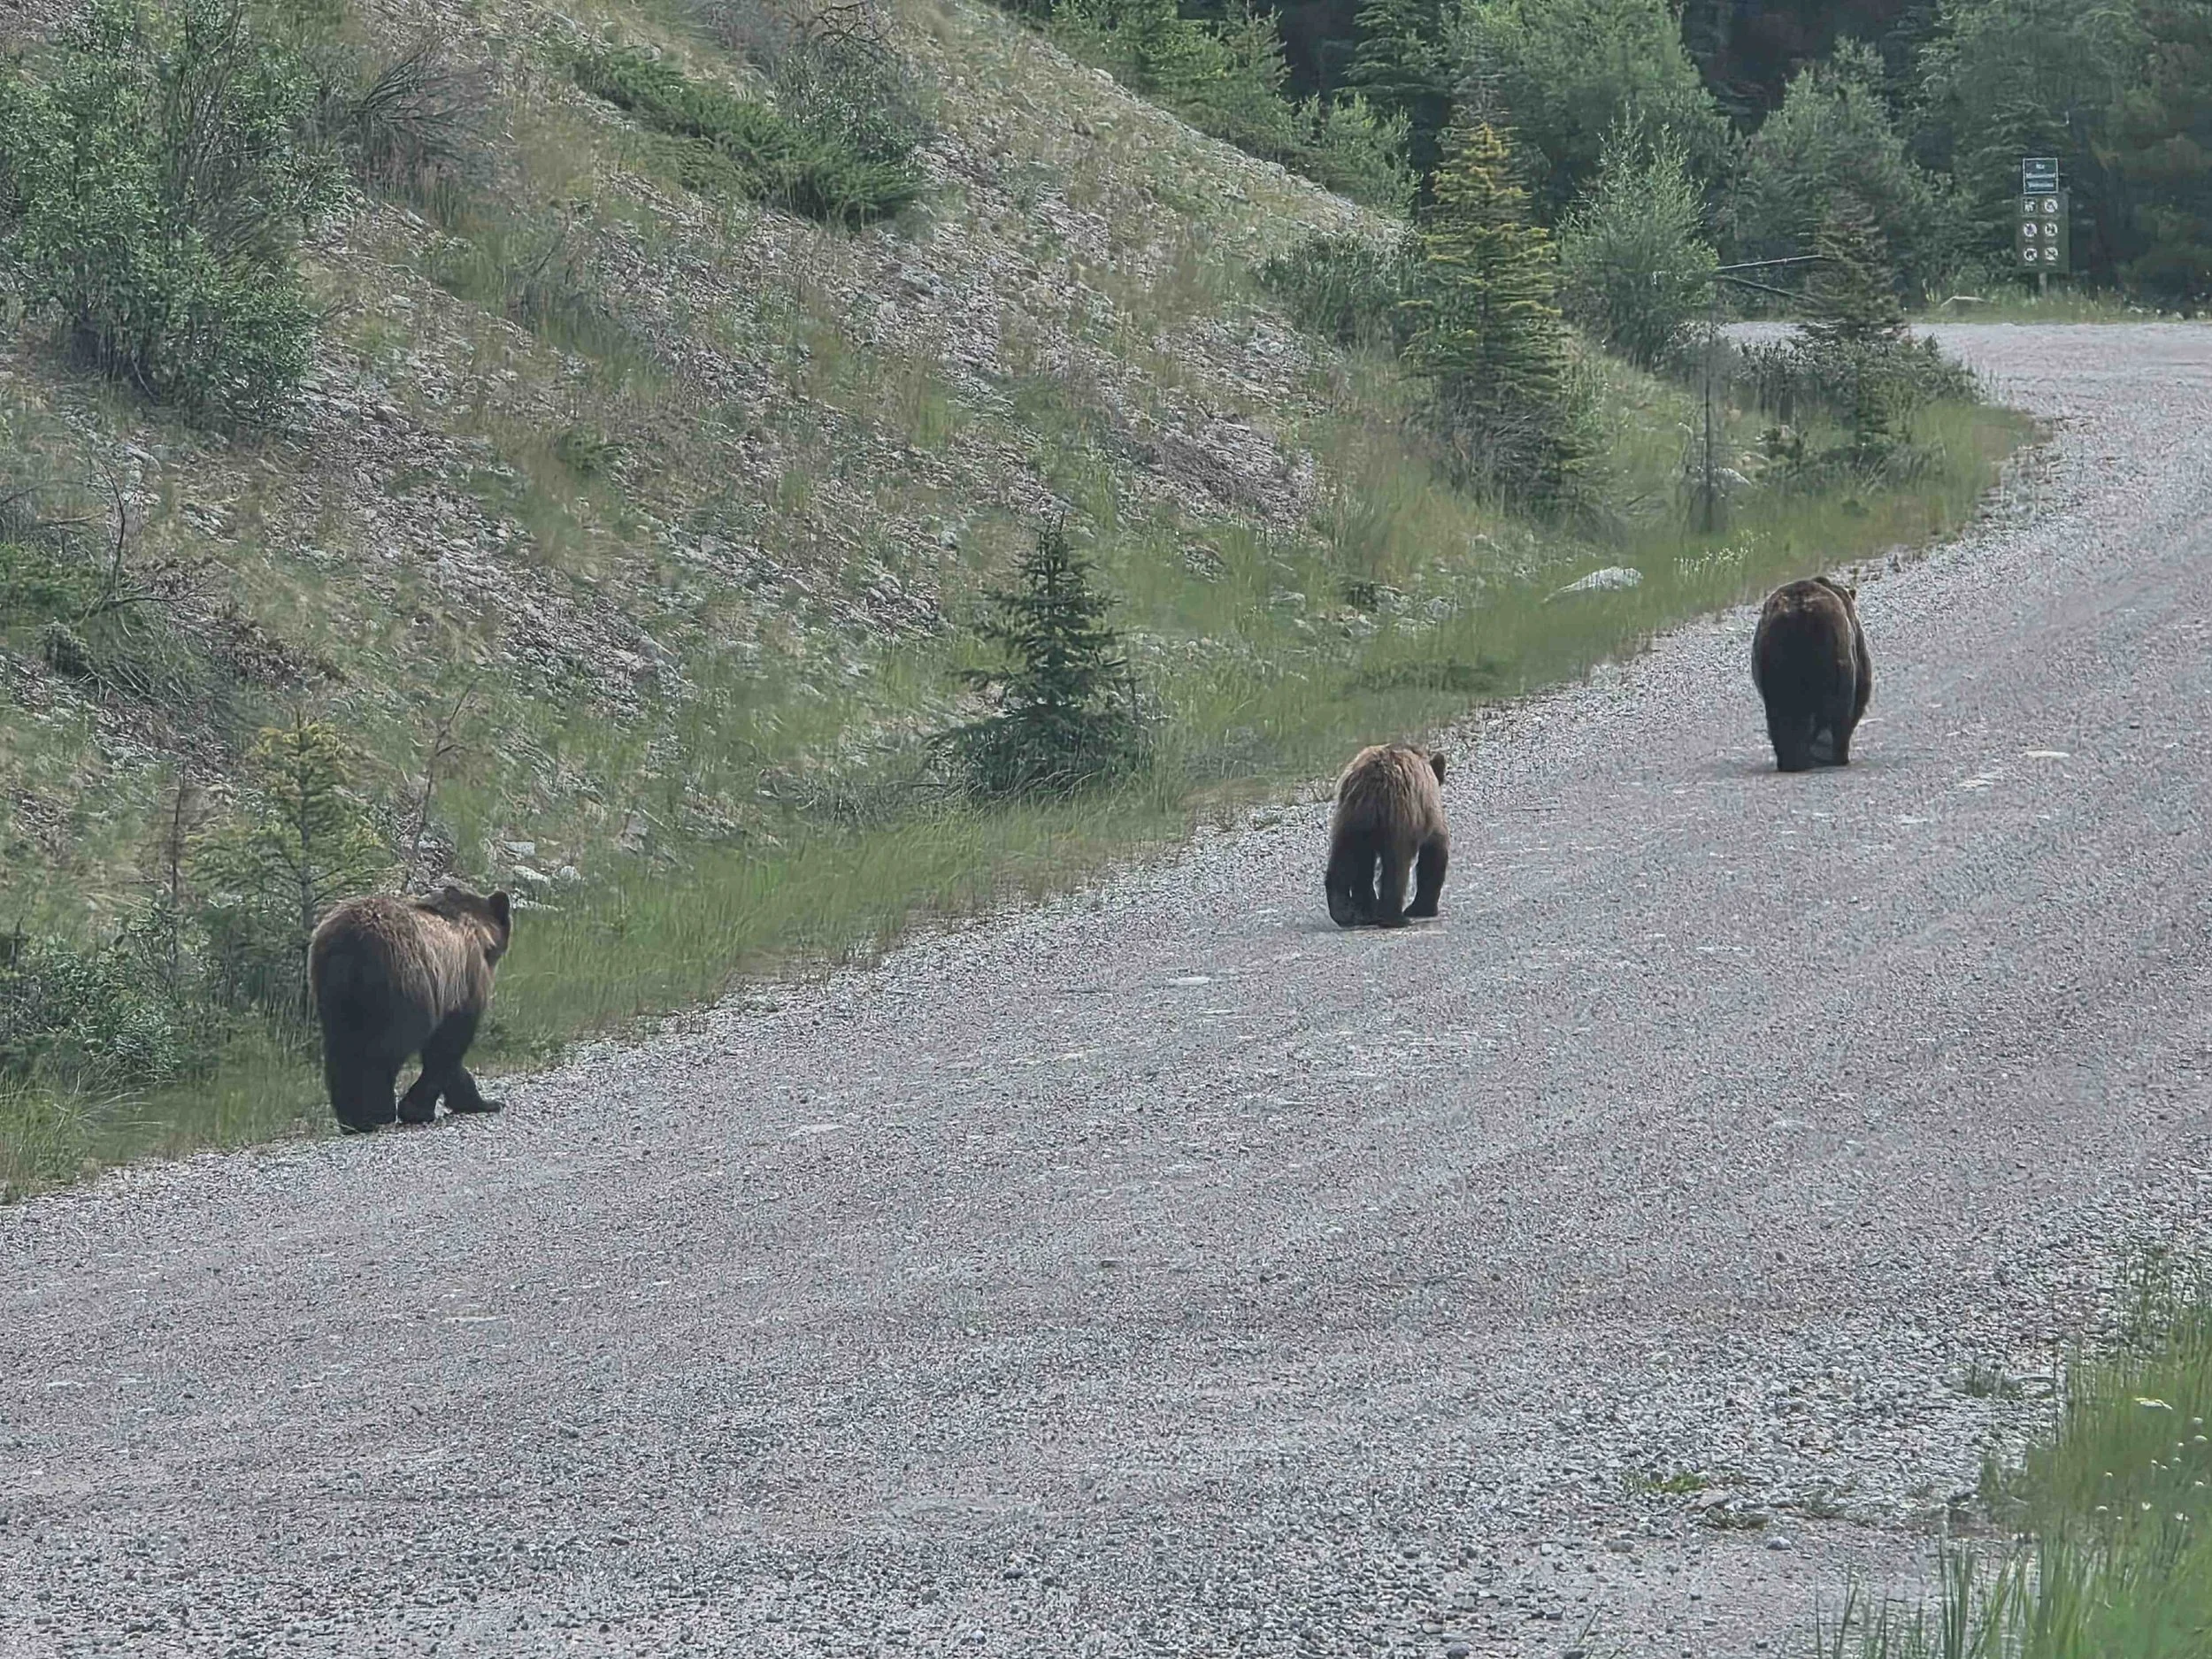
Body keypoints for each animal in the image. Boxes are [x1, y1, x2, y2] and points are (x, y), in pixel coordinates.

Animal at [308, 885, 513, 1133]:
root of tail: (350, 942)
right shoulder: (463, 985)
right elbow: (447, 1046)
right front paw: (418, 1109)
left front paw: (479, 1101)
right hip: (402, 983)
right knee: (385, 1048)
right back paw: (376, 1112)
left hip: (331, 990)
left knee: (340, 1048)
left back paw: (350, 1118)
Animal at [1325, 743, 1449, 928]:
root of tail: (1373, 780)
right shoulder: (1429, 812)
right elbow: (1434, 852)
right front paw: (1423, 908)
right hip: (1398, 816)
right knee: (1396, 865)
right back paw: (1395, 917)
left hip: (1350, 816)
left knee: (1346, 856)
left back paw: (1347, 912)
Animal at [1752, 576, 1873, 773]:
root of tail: (1801, 613)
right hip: (1837, 655)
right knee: (1840, 710)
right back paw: (1835, 755)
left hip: (1776, 661)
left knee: (1782, 711)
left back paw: (1792, 760)